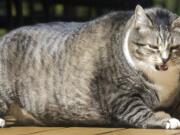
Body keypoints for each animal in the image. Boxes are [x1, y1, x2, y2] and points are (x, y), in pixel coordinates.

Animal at [0, 4, 179, 129]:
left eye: (173, 48)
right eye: (153, 47)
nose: (164, 60)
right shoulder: (119, 98)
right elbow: (140, 112)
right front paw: (165, 120)